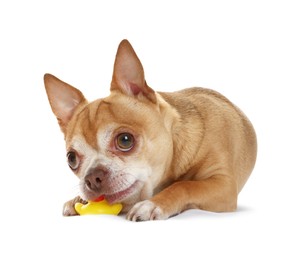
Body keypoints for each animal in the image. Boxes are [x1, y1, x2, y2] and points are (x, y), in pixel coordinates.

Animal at [44, 39, 255, 221]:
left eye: (125, 140)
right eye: (71, 158)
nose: (92, 177)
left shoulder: (224, 185)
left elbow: (184, 185)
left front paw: (153, 204)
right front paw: (77, 200)